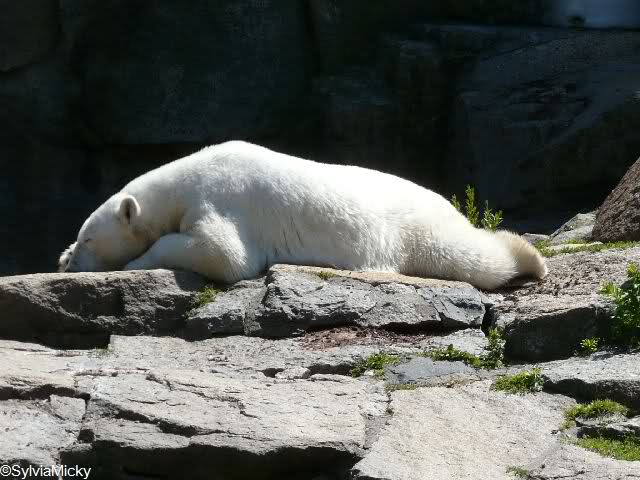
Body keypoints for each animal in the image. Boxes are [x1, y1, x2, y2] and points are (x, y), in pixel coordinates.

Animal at [59, 140, 547, 290]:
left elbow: (223, 254)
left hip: (414, 232)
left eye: (89, 238)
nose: (70, 261)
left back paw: (528, 256)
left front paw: (136, 261)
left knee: (468, 256)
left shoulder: (220, 197)